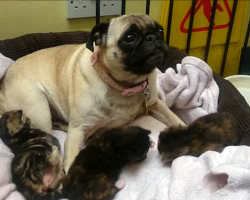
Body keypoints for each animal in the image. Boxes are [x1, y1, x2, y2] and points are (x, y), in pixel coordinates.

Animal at [0, 13, 186, 172]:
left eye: (160, 30)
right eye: (129, 38)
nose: (152, 37)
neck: (124, 87)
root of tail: (4, 81)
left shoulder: (156, 104)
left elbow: (174, 118)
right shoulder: (78, 130)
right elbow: (71, 160)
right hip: (39, 108)